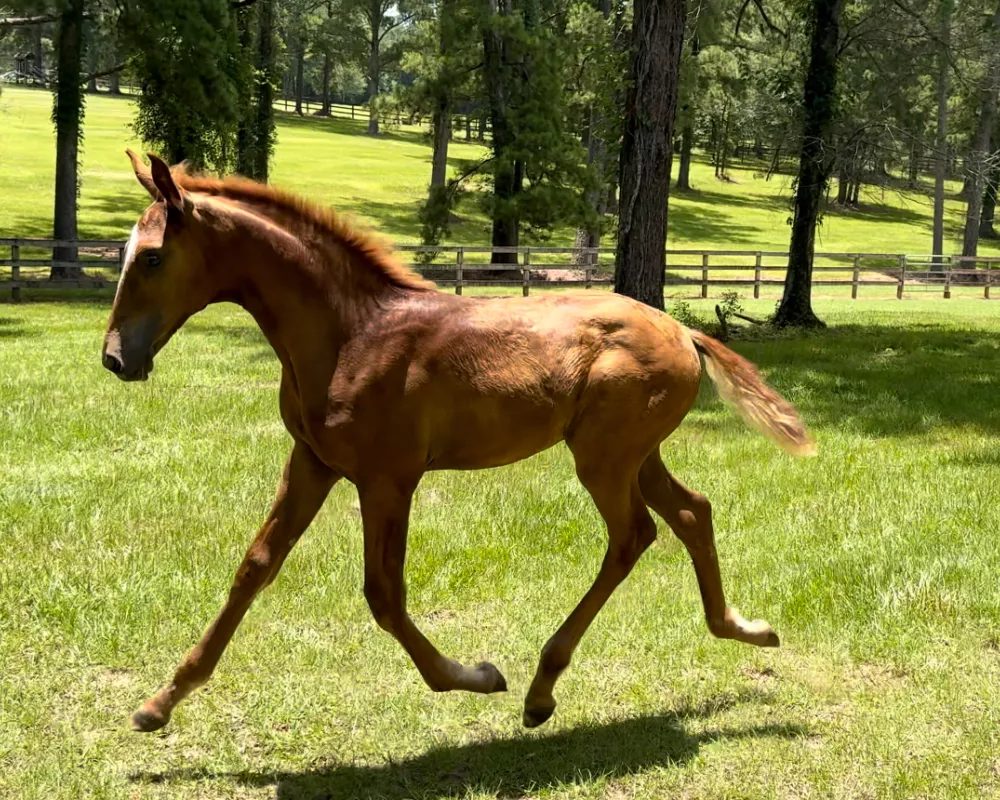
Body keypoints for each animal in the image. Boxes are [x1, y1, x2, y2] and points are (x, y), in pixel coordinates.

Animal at [103, 153, 812, 736]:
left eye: (152, 257)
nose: (115, 359)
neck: (350, 333)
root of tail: (683, 333)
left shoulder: (388, 478)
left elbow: (384, 595)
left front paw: (476, 676)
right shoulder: (314, 462)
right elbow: (254, 567)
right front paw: (159, 703)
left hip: (604, 459)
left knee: (634, 535)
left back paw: (540, 689)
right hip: (635, 454)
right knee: (692, 512)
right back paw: (744, 628)